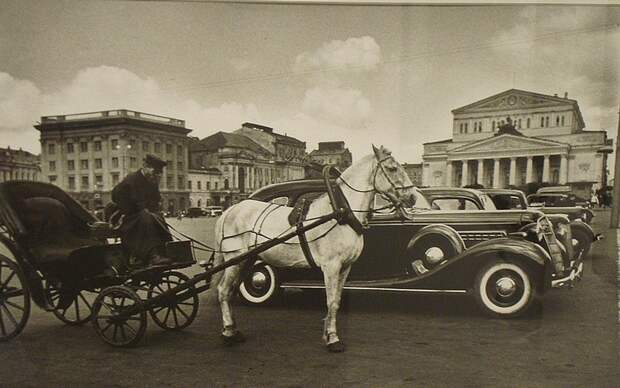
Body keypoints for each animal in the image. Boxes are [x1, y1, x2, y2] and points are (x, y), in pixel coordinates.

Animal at [213, 145, 416, 352]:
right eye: (392, 168)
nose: (412, 197)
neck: (341, 213)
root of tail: (229, 210)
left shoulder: (345, 267)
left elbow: (337, 301)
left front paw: (328, 333)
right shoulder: (331, 266)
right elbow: (331, 301)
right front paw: (333, 339)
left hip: (247, 259)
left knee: (230, 291)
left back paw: (232, 330)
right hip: (235, 260)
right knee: (223, 291)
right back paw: (228, 334)